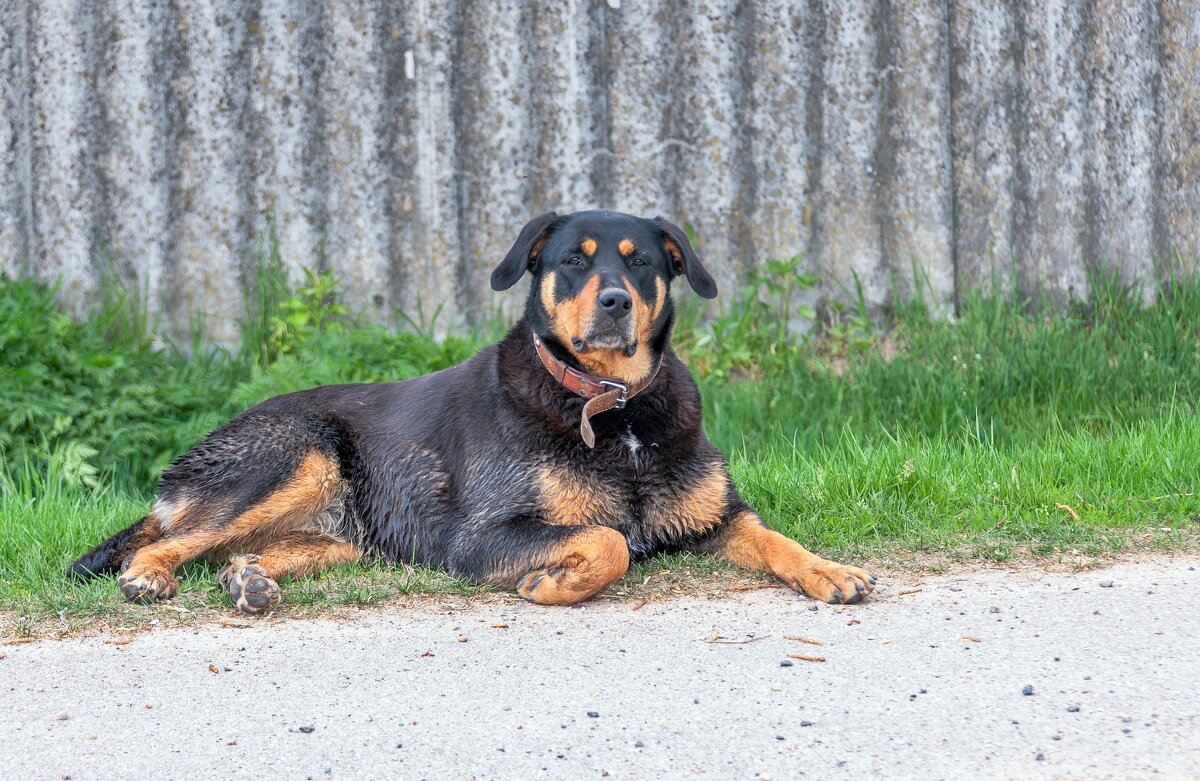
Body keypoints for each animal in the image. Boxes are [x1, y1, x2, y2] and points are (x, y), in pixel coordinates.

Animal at [70, 211, 878, 614]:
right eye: (575, 260)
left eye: (641, 260)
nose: (616, 302)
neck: (611, 407)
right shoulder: (481, 537)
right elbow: (607, 542)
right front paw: (555, 584)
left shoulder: (717, 515)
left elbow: (775, 537)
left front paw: (830, 568)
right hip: (296, 452)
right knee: (172, 540)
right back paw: (150, 575)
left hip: (344, 536)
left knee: (232, 553)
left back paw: (249, 581)